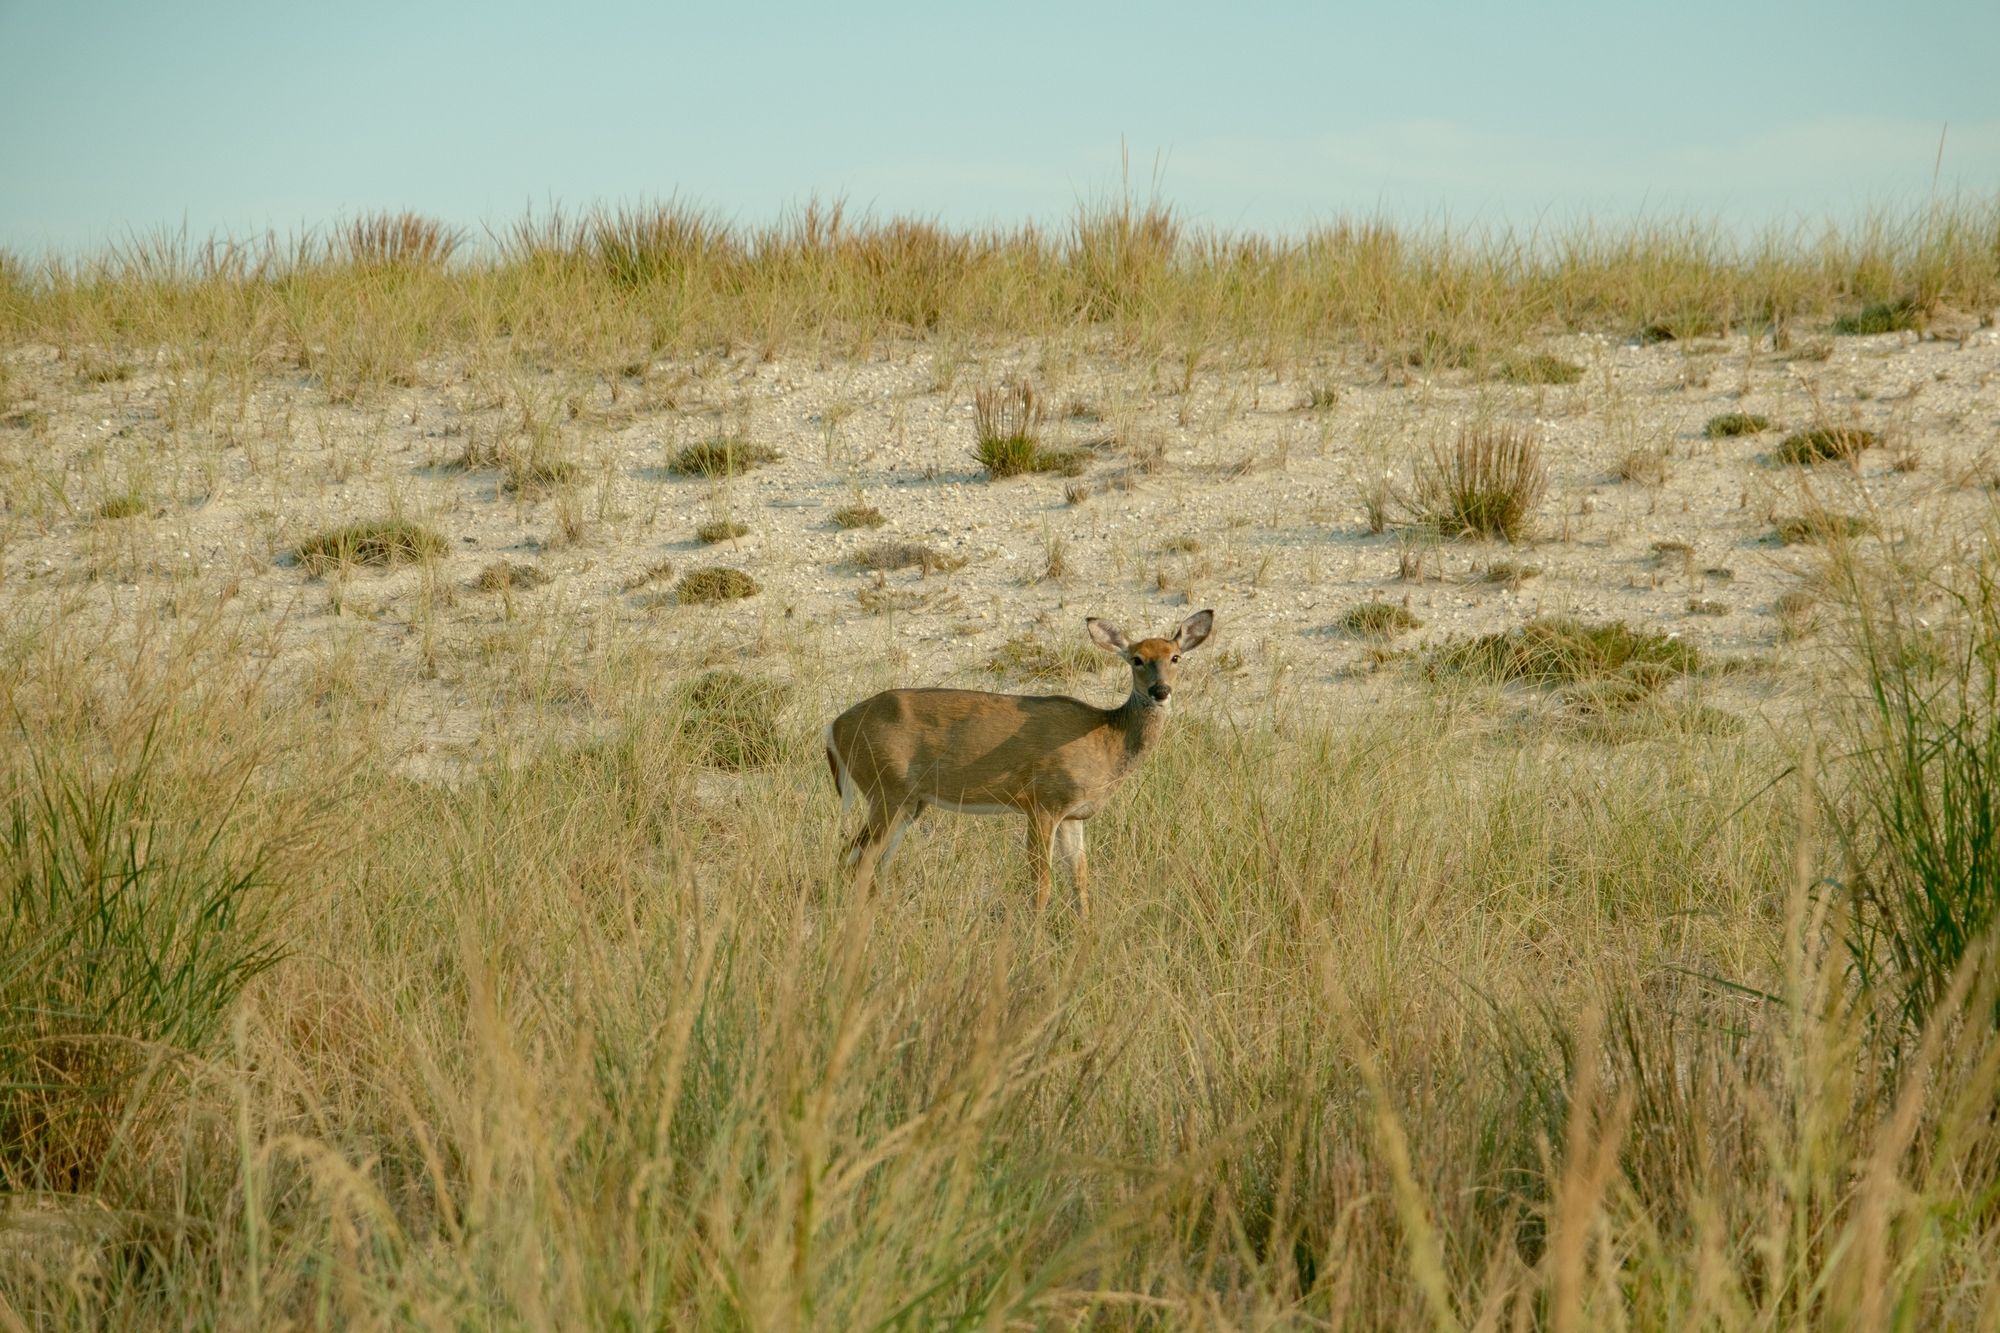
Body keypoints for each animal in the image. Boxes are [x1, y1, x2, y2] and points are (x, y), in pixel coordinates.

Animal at [823, 609, 1214, 912]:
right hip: (886, 788)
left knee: (867, 861)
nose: (1160, 691)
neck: (1107, 738)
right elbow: (1042, 883)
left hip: (910, 802)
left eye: (1175, 657)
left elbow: (1080, 880)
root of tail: (835, 726)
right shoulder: (1042, 802)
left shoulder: (1074, 815)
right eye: (1136, 659)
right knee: (858, 858)